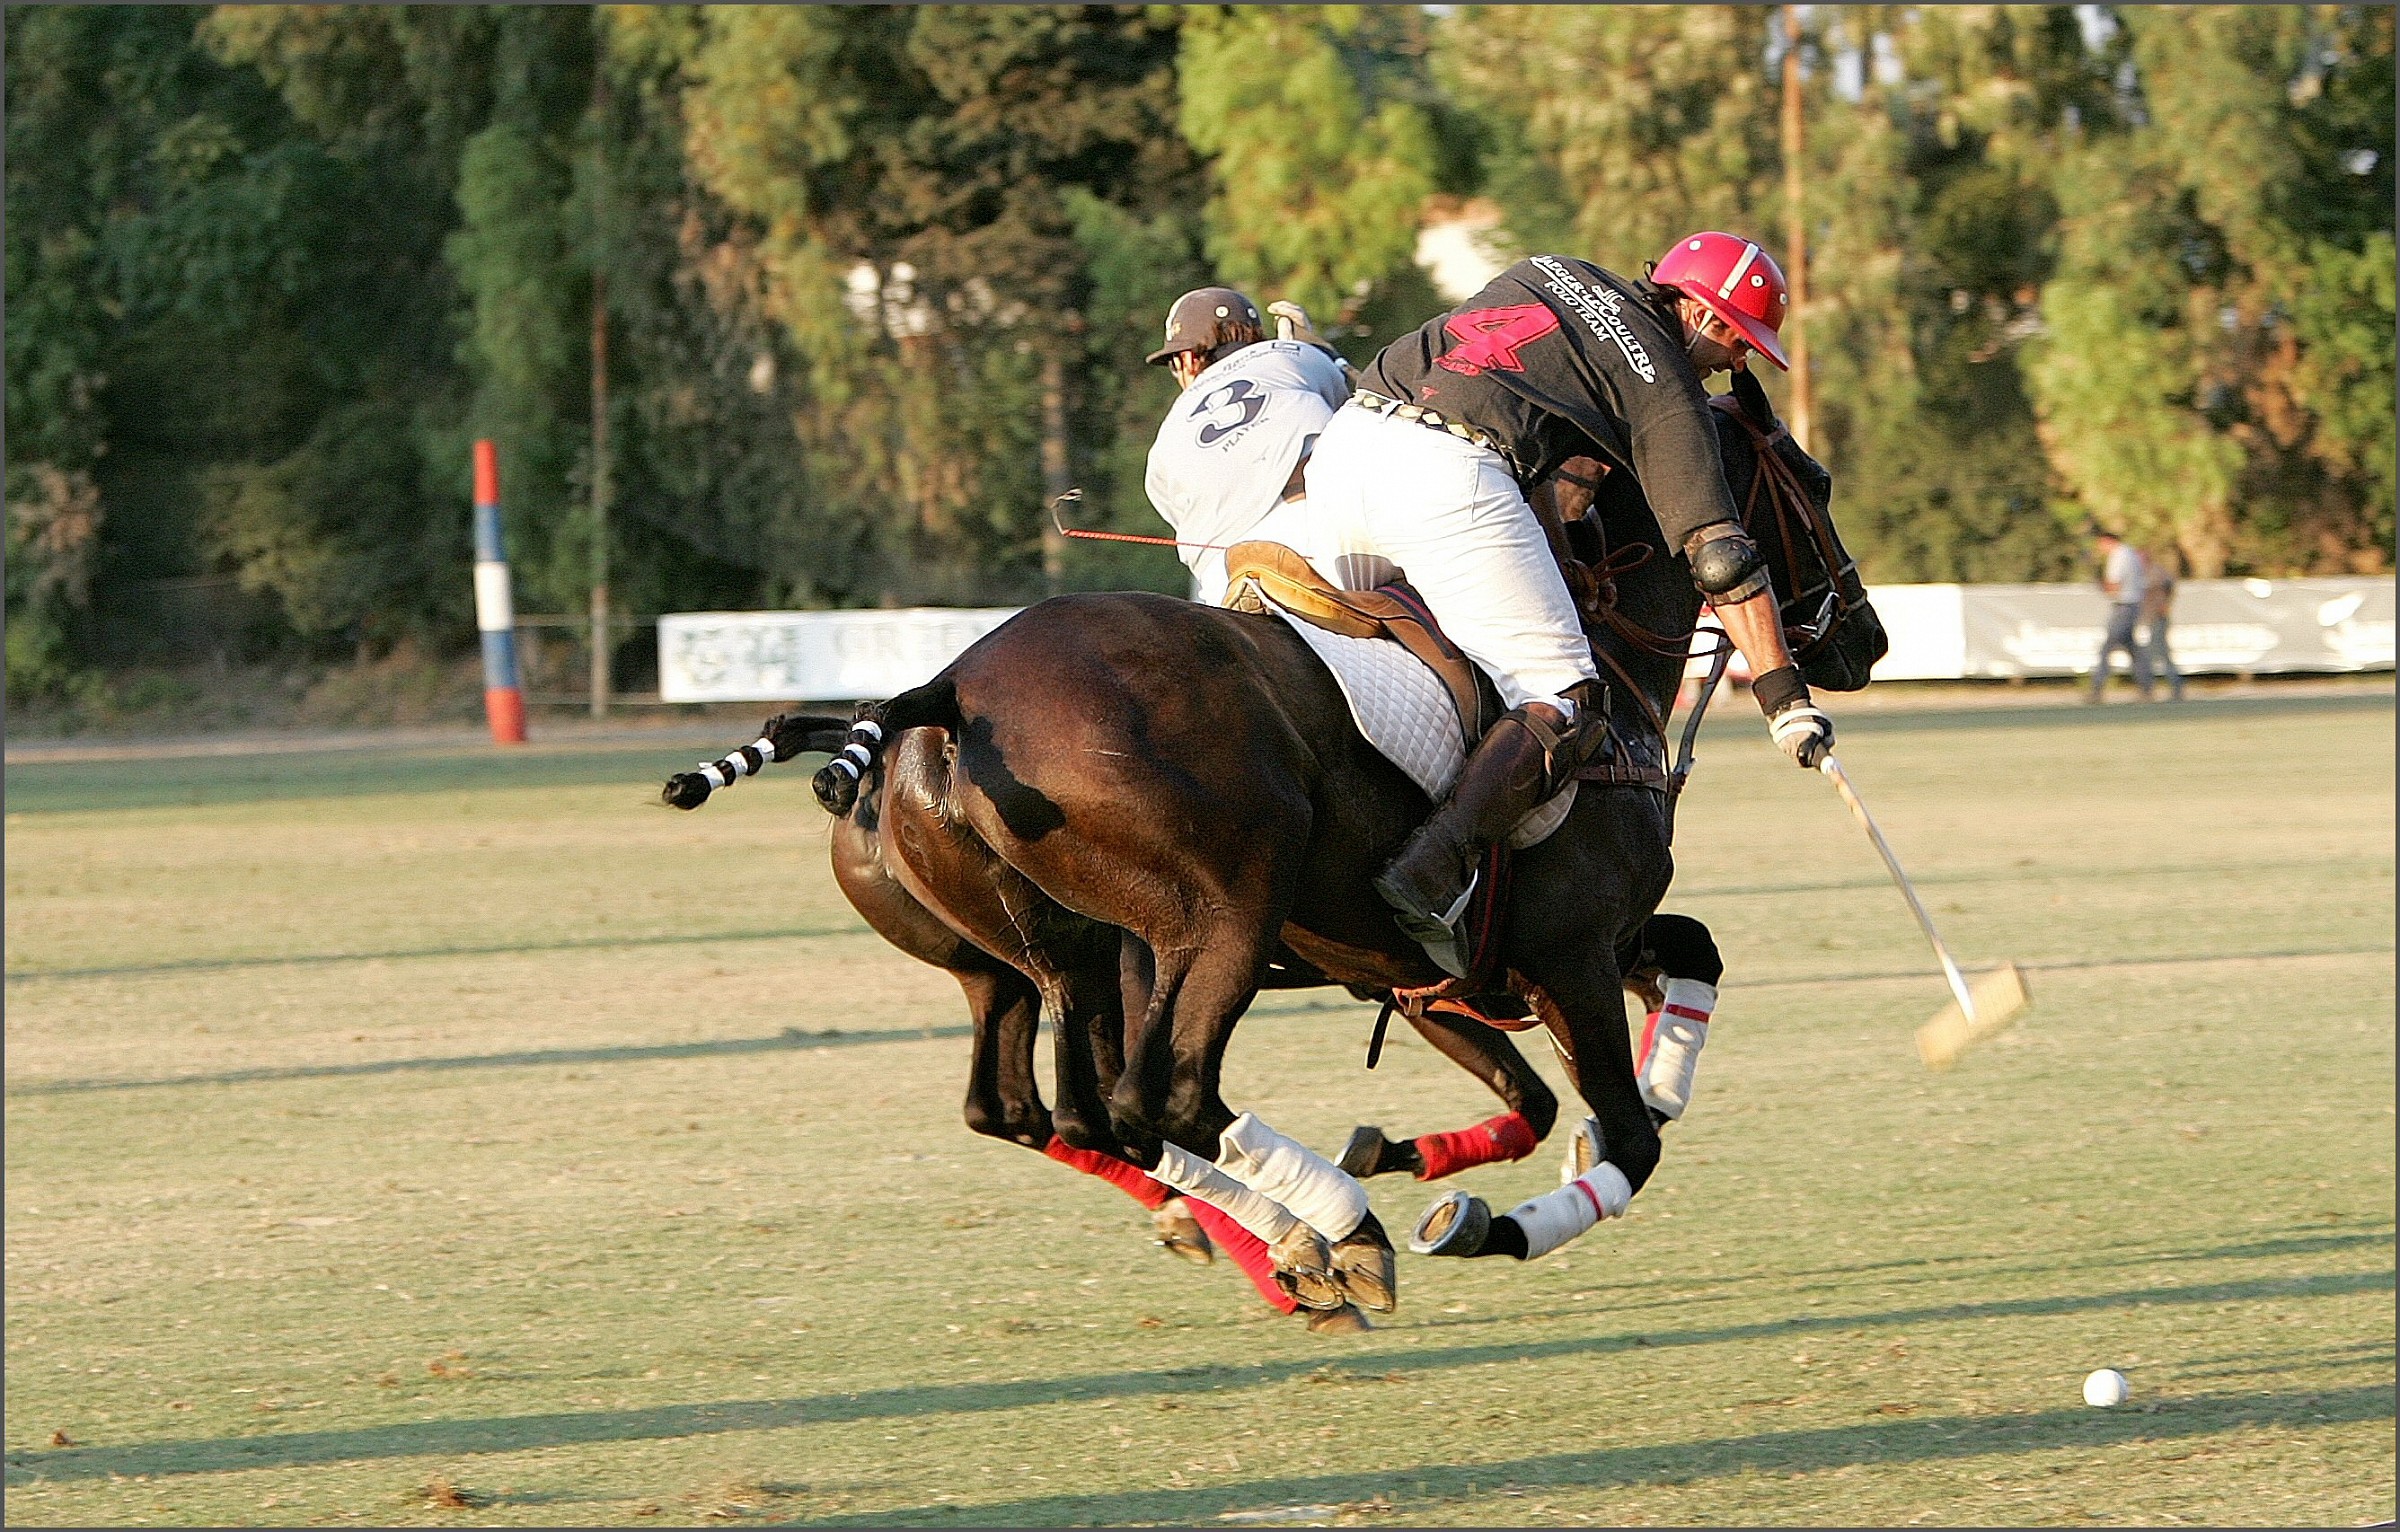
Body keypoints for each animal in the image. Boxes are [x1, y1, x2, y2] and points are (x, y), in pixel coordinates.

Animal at [664, 366, 1884, 1311]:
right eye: (1813, 481)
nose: (1864, 640)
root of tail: (946, 688)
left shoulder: (1453, 975)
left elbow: (1657, 989)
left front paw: (1429, 1150)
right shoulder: (1565, 953)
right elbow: (1627, 1136)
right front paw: (1481, 1215)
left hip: (1029, 962)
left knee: (1047, 1109)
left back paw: (1289, 1240)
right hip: (1219, 913)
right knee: (1152, 1099)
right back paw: (1333, 1238)